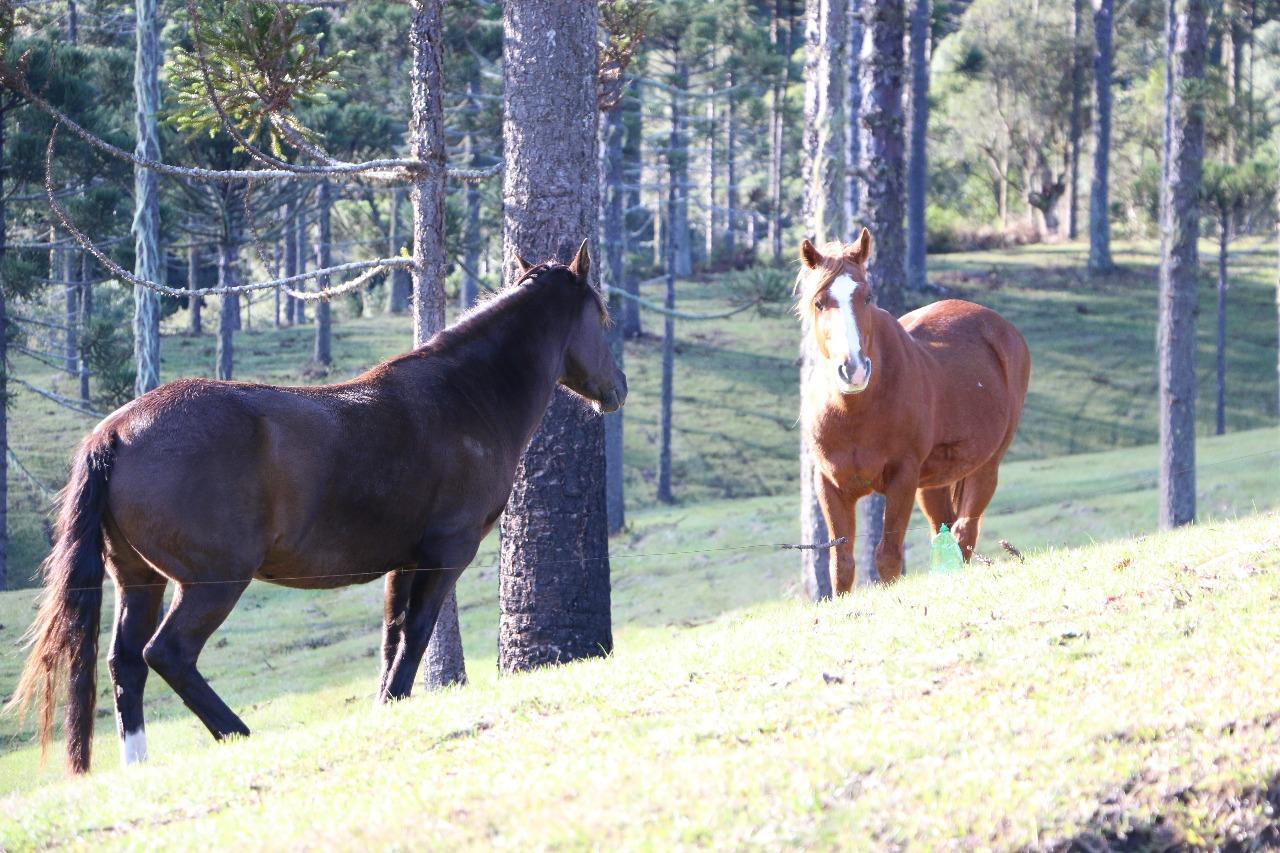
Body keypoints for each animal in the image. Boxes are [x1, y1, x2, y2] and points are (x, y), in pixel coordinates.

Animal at [5, 239, 624, 768]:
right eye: (603, 317)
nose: (617, 388)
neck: (464, 396)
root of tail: (114, 431)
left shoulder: (405, 560)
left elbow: (393, 635)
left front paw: (385, 705)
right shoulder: (447, 552)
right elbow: (417, 633)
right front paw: (392, 705)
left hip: (139, 580)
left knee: (127, 662)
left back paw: (140, 763)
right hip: (212, 582)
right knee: (169, 654)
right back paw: (238, 733)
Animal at [798, 229, 1029, 594]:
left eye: (867, 296)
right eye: (819, 302)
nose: (854, 370)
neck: (853, 413)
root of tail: (1002, 328)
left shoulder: (902, 478)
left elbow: (888, 558)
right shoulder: (829, 483)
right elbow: (841, 565)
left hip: (985, 467)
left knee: (964, 533)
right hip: (934, 483)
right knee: (946, 532)